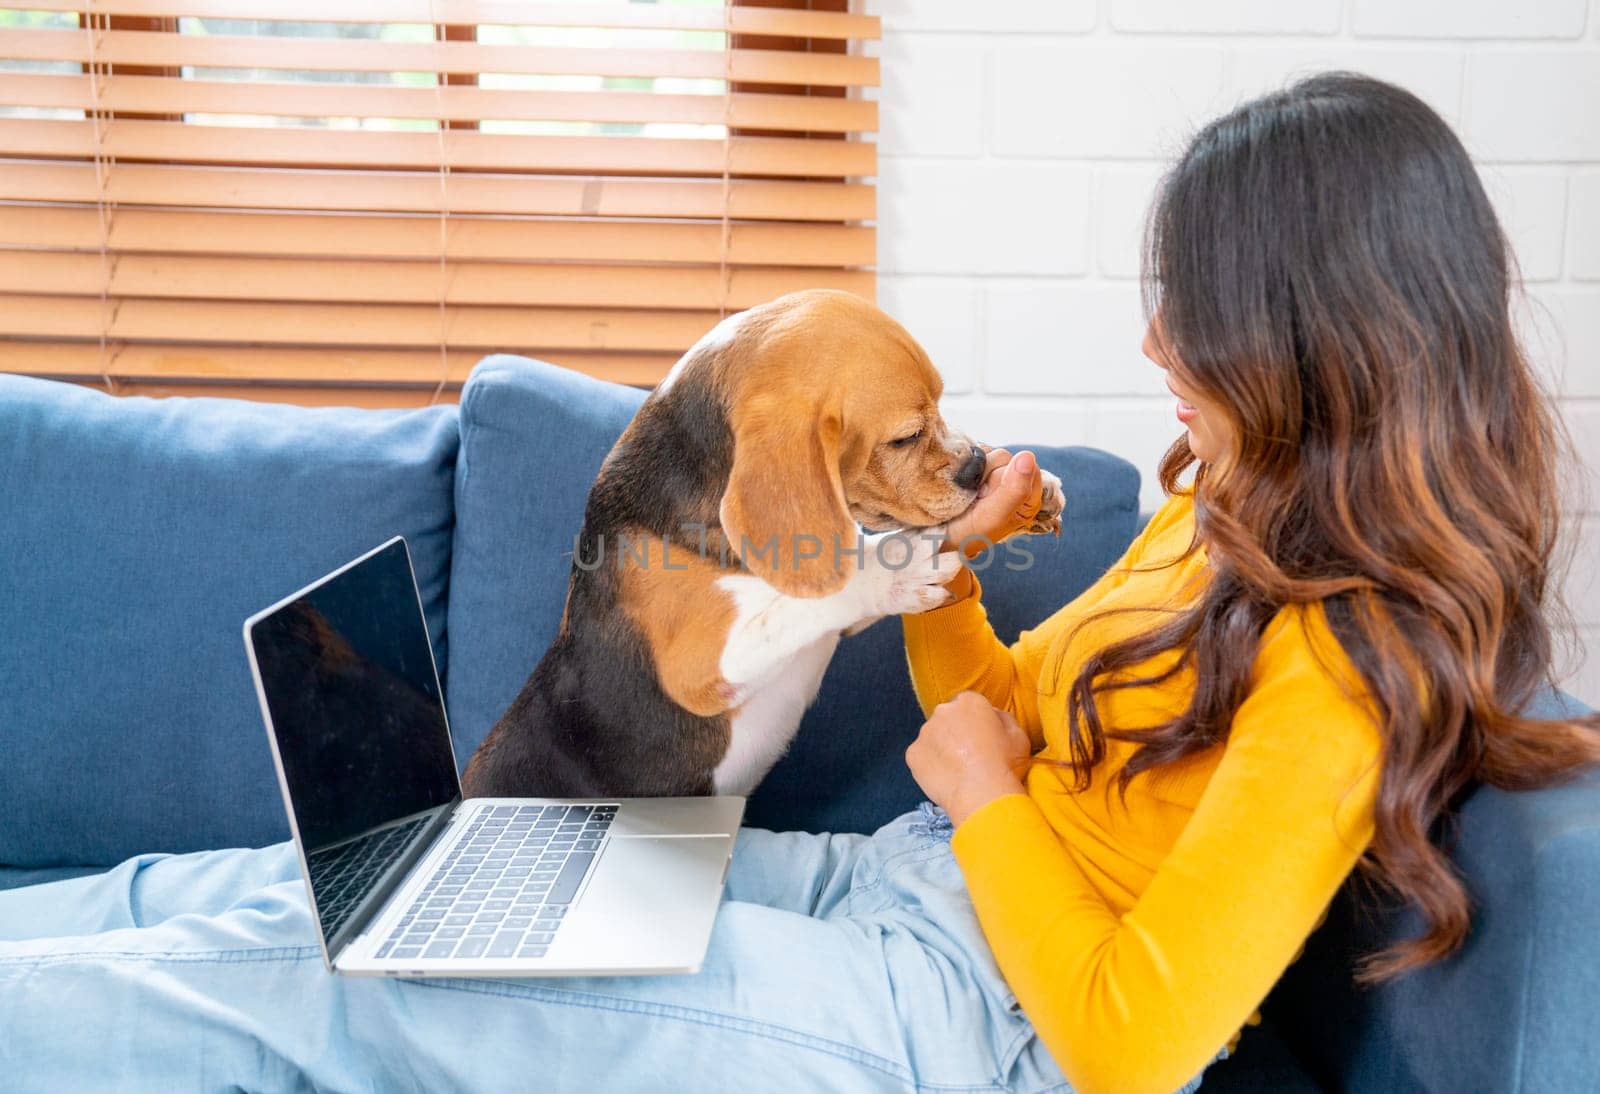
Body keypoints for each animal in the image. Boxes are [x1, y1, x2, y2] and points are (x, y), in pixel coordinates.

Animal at [464, 292, 1062, 802]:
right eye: (904, 437)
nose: (976, 466)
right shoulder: (699, 666)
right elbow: (814, 599)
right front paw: (895, 570)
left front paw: (1024, 496)